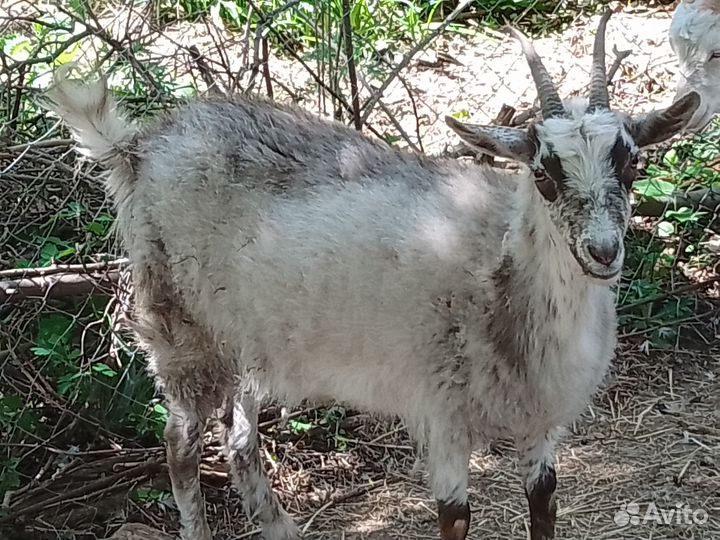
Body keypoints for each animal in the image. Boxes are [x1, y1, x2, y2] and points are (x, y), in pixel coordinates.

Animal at [44, 10, 699, 540]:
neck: (499, 271)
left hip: (251, 338)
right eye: (543, 174)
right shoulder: (442, 411)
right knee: (180, 448)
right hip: (180, 326)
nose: (603, 250)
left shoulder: (539, 421)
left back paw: (281, 527)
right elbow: (454, 519)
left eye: (632, 165)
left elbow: (543, 510)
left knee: (238, 441)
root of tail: (137, 149)